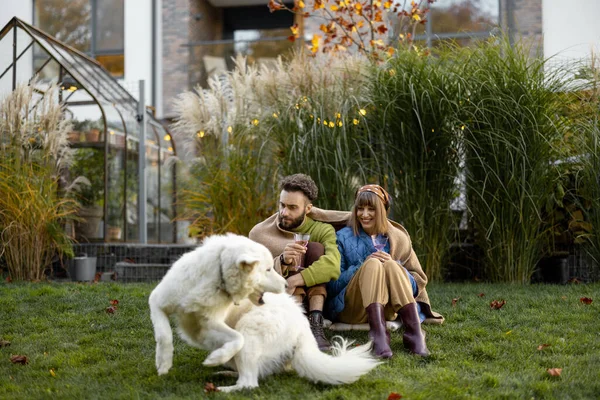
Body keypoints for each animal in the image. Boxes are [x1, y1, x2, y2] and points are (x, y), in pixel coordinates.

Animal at [146, 233, 286, 376]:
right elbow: (164, 336)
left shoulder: (206, 326)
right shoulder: (157, 302)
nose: (286, 284)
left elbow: (239, 339)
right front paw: (163, 364)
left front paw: (216, 358)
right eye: (268, 269)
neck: (218, 278)